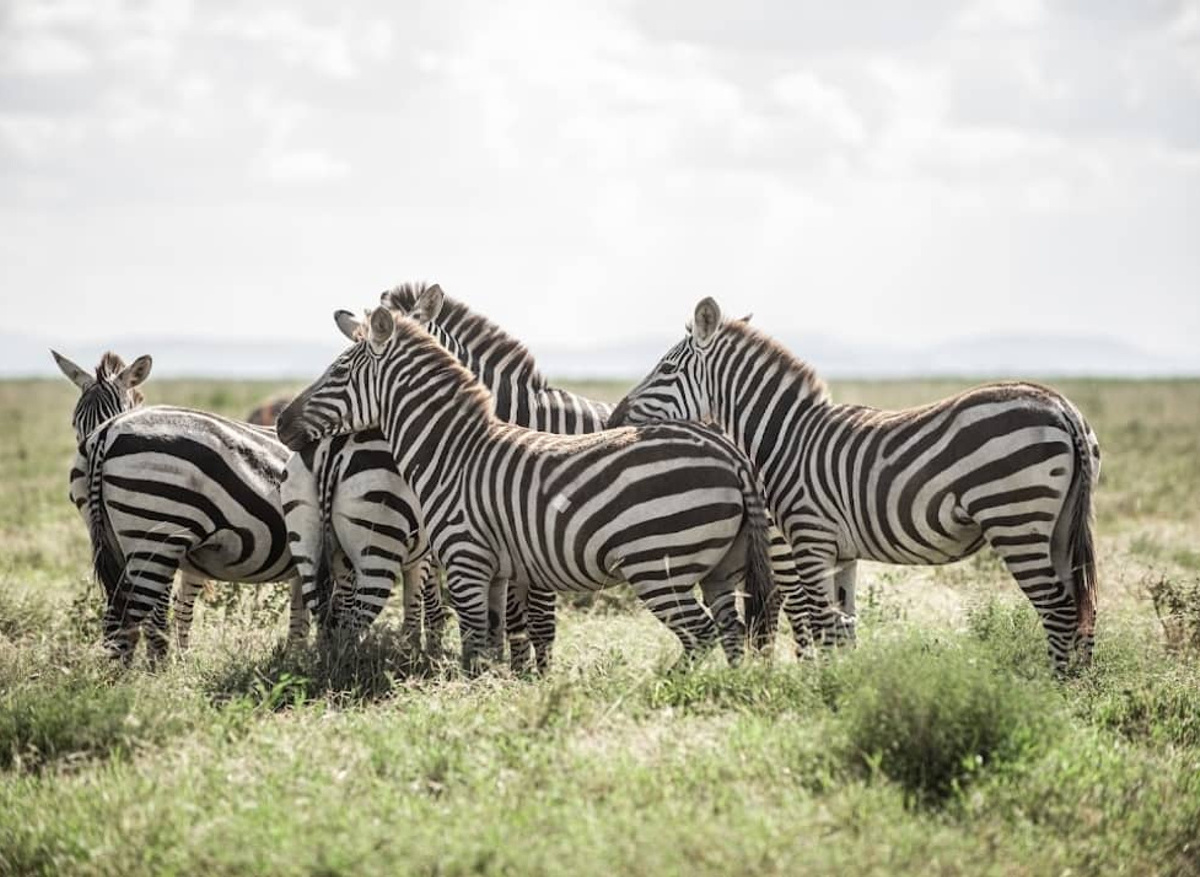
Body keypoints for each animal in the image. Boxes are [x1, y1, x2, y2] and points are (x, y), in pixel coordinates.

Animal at [76, 404, 306, 661]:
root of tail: (109, 429)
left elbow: (301, 616)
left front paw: (297, 658)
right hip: (155, 535)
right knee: (129, 621)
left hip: (114, 539)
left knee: (117, 621)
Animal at [275, 306, 775, 673]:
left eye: (339, 371)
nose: (281, 424)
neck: (452, 451)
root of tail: (728, 450)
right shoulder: (496, 569)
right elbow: (496, 636)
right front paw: (502, 686)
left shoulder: (465, 560)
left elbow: (479, 641)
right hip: (721, 567)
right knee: (730, 632)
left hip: (658, 565)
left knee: (702, 634)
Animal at [608, 297, 1100, 674]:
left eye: (666, 369)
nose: (614, 418)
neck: (788, 436)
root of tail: (1062, 406)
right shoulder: (843, 553)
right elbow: (845, 629)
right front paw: (844, 685)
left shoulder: (811, 540)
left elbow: (821, 625)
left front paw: (823, 689)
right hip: (1058, 525)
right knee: (1083, 605)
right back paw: (1083, 690)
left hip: (1015, 516)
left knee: (1058, 608)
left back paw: (1055, 690)